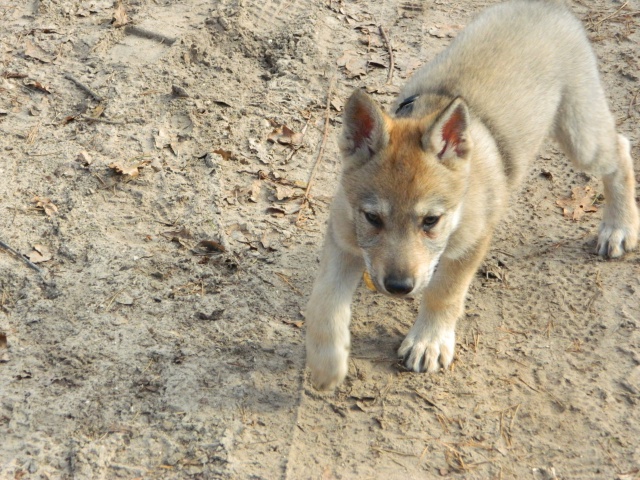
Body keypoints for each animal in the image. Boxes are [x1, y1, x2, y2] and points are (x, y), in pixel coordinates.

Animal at [308, 0, 636, 390]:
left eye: (431, 221)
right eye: (372, 218)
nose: (399, 287)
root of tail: (545, 6)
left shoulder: (469, 245)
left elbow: (443, 293)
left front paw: (429, 341)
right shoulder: (342, 238)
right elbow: (325, 302)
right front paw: (326, 364)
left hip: (582, 138)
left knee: (621, 149)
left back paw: (619, 228)